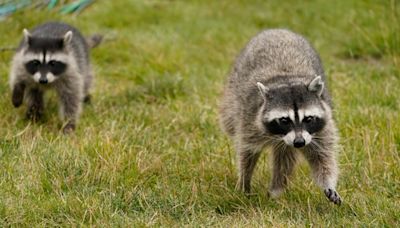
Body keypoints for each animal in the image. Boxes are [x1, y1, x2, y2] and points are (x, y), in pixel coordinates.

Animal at [220, 28, 342, 205]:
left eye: (308, 119)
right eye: (284, 120)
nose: (299, 142)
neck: (287, 78)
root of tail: (278, 30)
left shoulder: (322, 127)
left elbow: (322, 157)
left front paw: (328, 183)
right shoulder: (249, 118)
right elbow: (247, 152)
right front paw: (244, 183)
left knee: (285, 159)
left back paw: (276, 189)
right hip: (232, 93)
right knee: (229, 121)